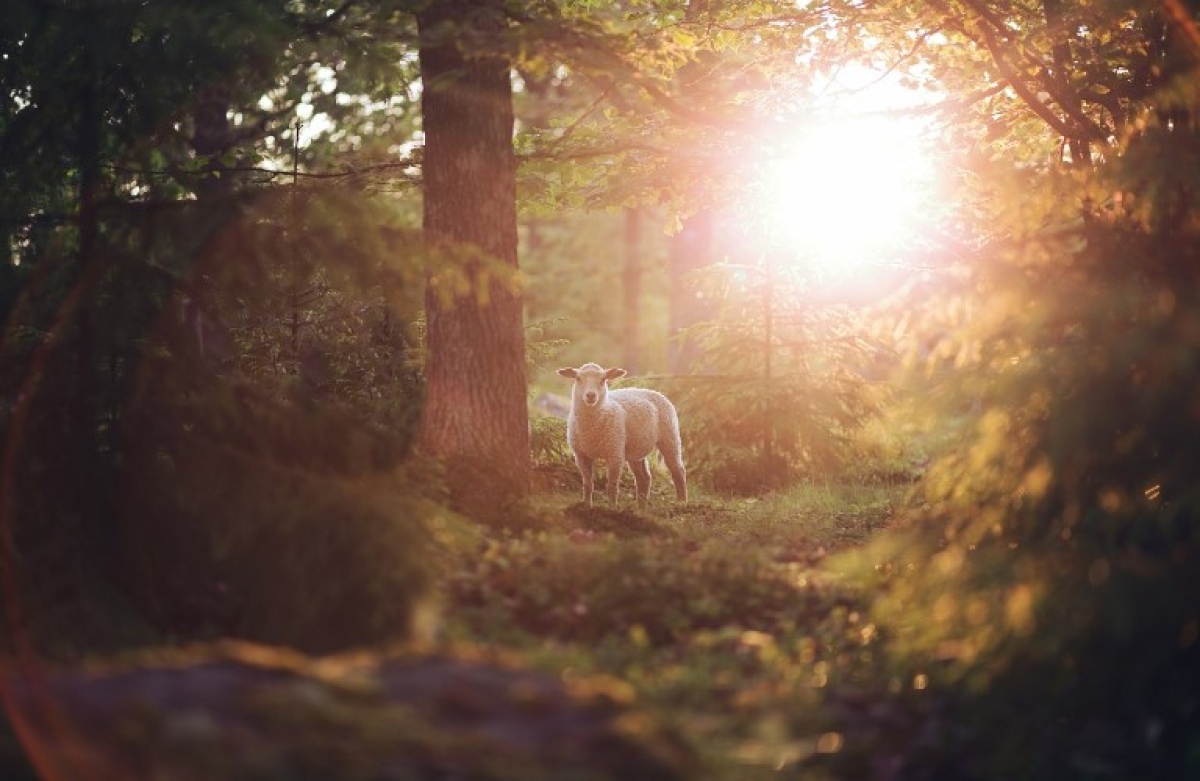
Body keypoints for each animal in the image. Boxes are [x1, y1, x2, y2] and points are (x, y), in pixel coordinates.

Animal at [552, 364, 686, 511]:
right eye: (578, 378)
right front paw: (586, 506)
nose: (591, 395)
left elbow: (612, 486)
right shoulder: (581, 455)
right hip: (635, 448)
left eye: (603, 379)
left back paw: (682, 502)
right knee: (644, 477)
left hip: (670, 436)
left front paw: (612, 508)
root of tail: (650, 390)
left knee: (678, 470)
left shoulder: (615, 453)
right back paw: (641, 507)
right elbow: (587, 484)